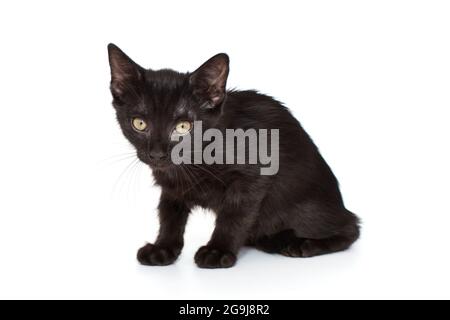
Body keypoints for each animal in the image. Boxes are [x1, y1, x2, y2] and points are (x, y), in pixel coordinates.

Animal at [107, 42, 360, 268]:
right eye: (140, 123)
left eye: (183, 127)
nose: (157, 154)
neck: (194, 159)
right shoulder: (171, 187)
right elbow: (169, 214)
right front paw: (163, 248)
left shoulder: (253, 177)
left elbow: (234, 214)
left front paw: (218, 251)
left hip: (302, 209)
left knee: (351, 227)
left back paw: (303, 244)